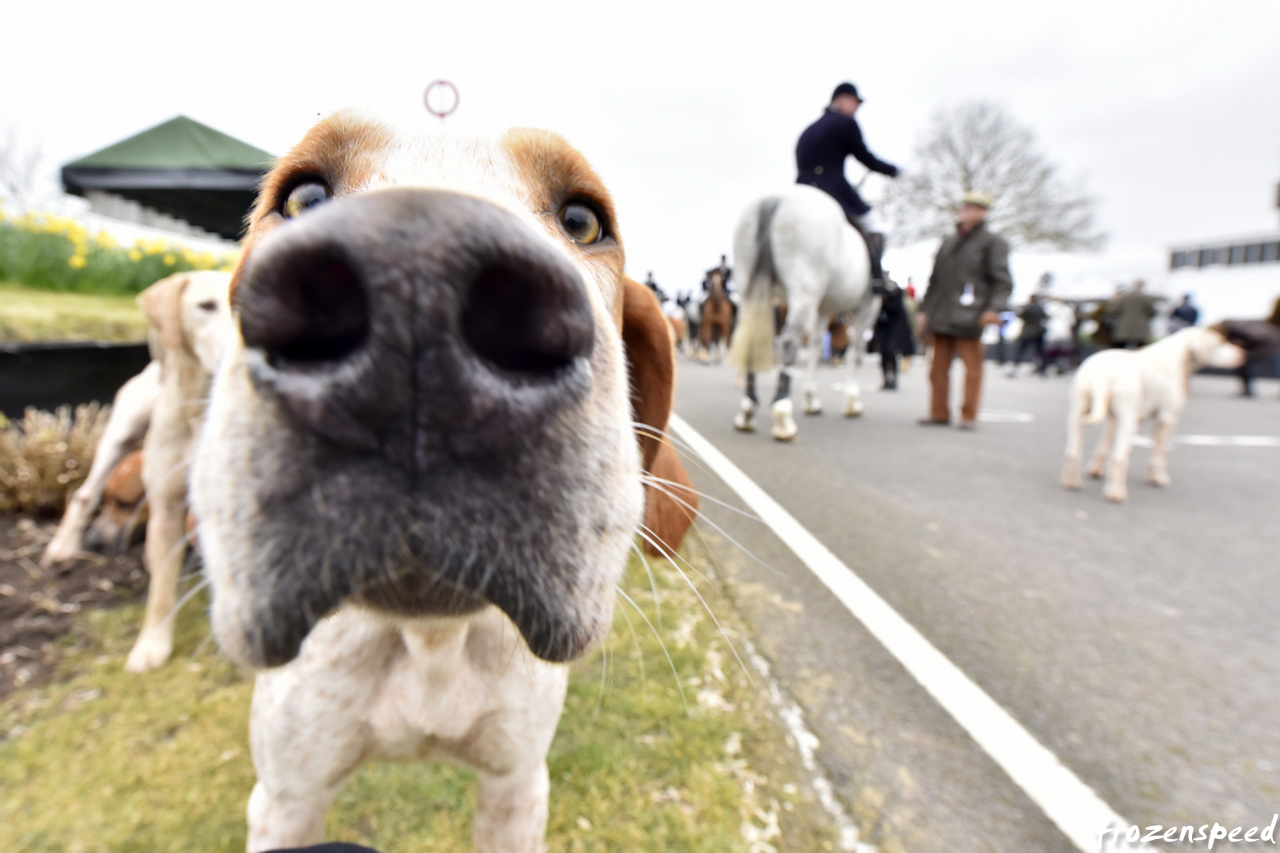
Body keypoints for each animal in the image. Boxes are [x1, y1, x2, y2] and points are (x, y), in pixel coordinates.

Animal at [1064, 324, 1244, 499]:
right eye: (1220, 343)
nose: (1243, 353)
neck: (1176, 356)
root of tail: (1102, 375)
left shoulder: (1114, 420)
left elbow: (1105, 448)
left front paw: (1096, 470)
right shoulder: (1166, 419)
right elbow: (1159, 455)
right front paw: (1158, 478)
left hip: (1079, 414)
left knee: (1073, 452)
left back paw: (1072, 482)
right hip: (1128, 420)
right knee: (1118, 458)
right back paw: (1116, 493)